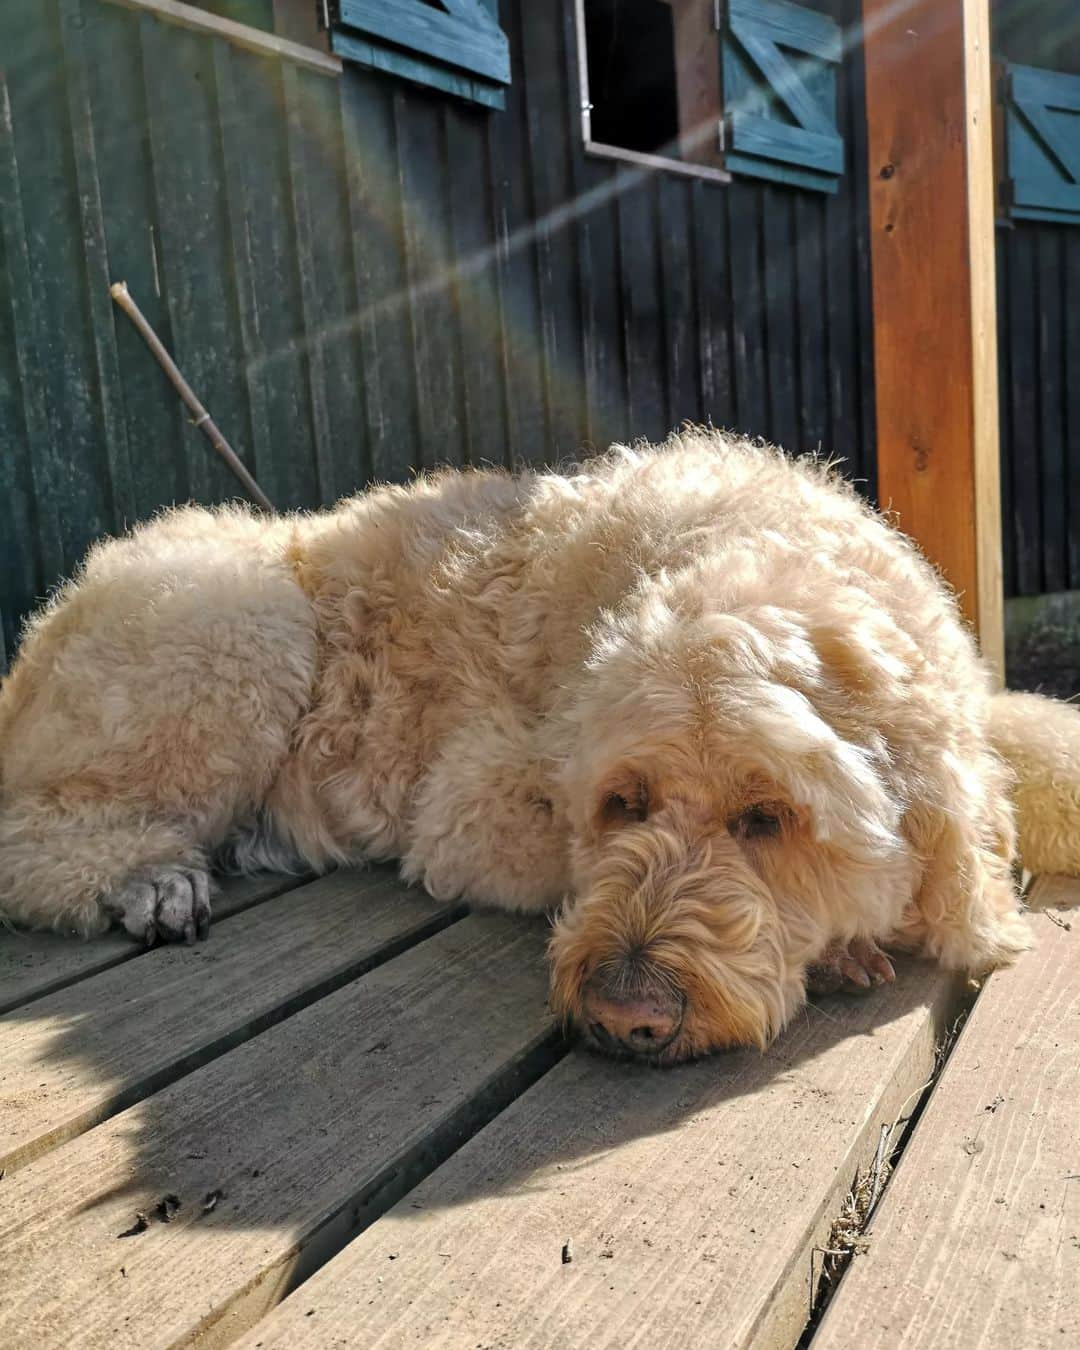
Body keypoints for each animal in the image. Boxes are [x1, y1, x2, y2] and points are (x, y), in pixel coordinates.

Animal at [2, 432, 1080, 1063]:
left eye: (768, 817)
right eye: (623, 803)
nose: (624, 1016)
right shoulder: (467, 804)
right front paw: (853, 942)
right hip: (236, 627)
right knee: (31, 832)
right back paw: (148, 878)